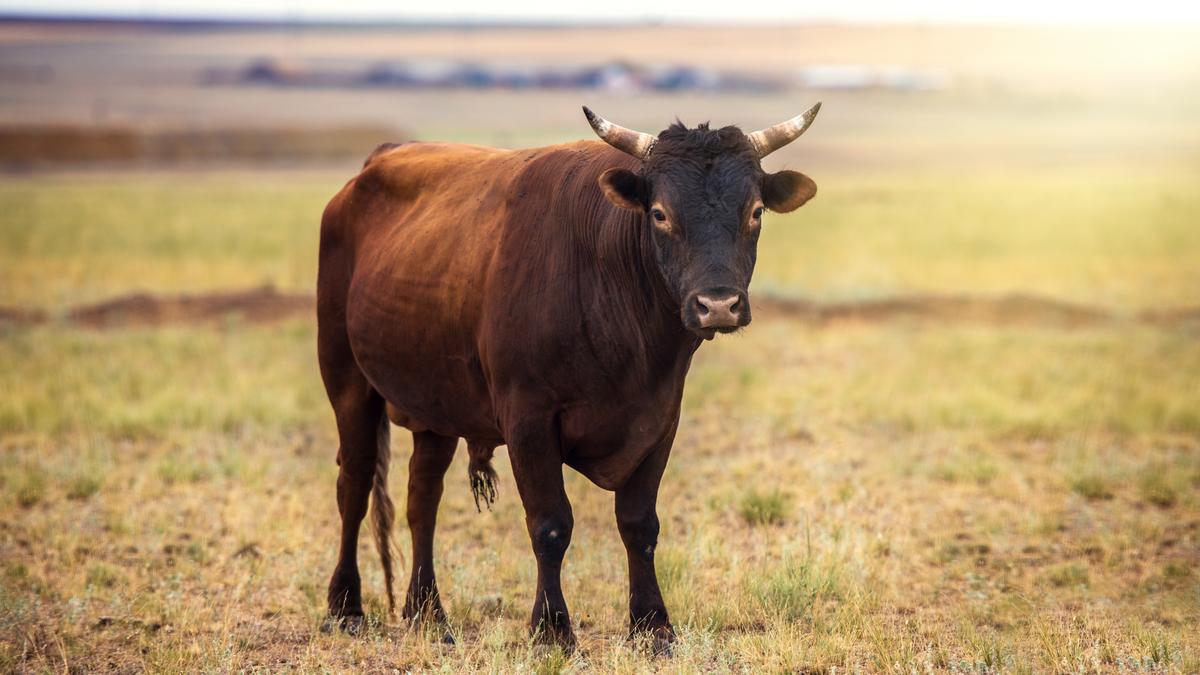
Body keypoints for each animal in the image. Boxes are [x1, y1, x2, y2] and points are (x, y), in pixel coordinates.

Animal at [319, 103, 820, 648]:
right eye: (660, 213)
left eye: (755, 212)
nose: (718, 305)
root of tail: (371, 167)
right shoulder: (528, 421)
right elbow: (551, 523)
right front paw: (552, 628)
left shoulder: (660, 420)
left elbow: (639, 524)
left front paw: (652, 624)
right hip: (347, 382)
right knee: (354, 485)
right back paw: (345, 605)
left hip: (435, 407)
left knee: (421, 498)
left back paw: (427, 611)